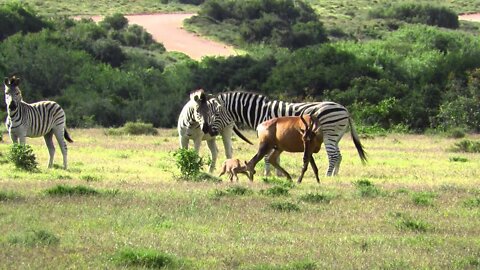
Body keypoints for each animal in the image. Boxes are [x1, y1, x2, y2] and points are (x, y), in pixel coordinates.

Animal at [210, 90, 368, 177]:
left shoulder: (268, 137)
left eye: (216, 114)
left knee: (334, 155)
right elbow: (275, 158)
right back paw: (335, 175)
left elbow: (267, 158)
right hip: (337, 136)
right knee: (339, 155)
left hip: (330, 133)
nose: (210, 131)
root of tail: (345, 110)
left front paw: (267, 175)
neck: (259, 112)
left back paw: (327, 175)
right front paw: (278, 174)